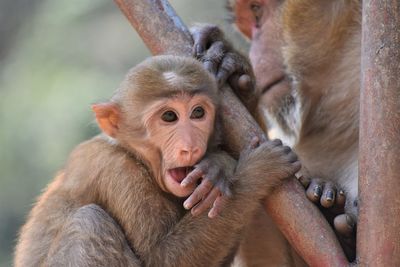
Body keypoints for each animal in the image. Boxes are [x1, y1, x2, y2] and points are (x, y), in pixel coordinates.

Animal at [14, 55, 300, 266]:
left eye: (198, 113)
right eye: (169, 117)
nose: (190, 147)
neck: (137, 157)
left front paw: (217, 164)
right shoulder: (114, 169)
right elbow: (160, 258)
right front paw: (254, 172)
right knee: (88, 223)